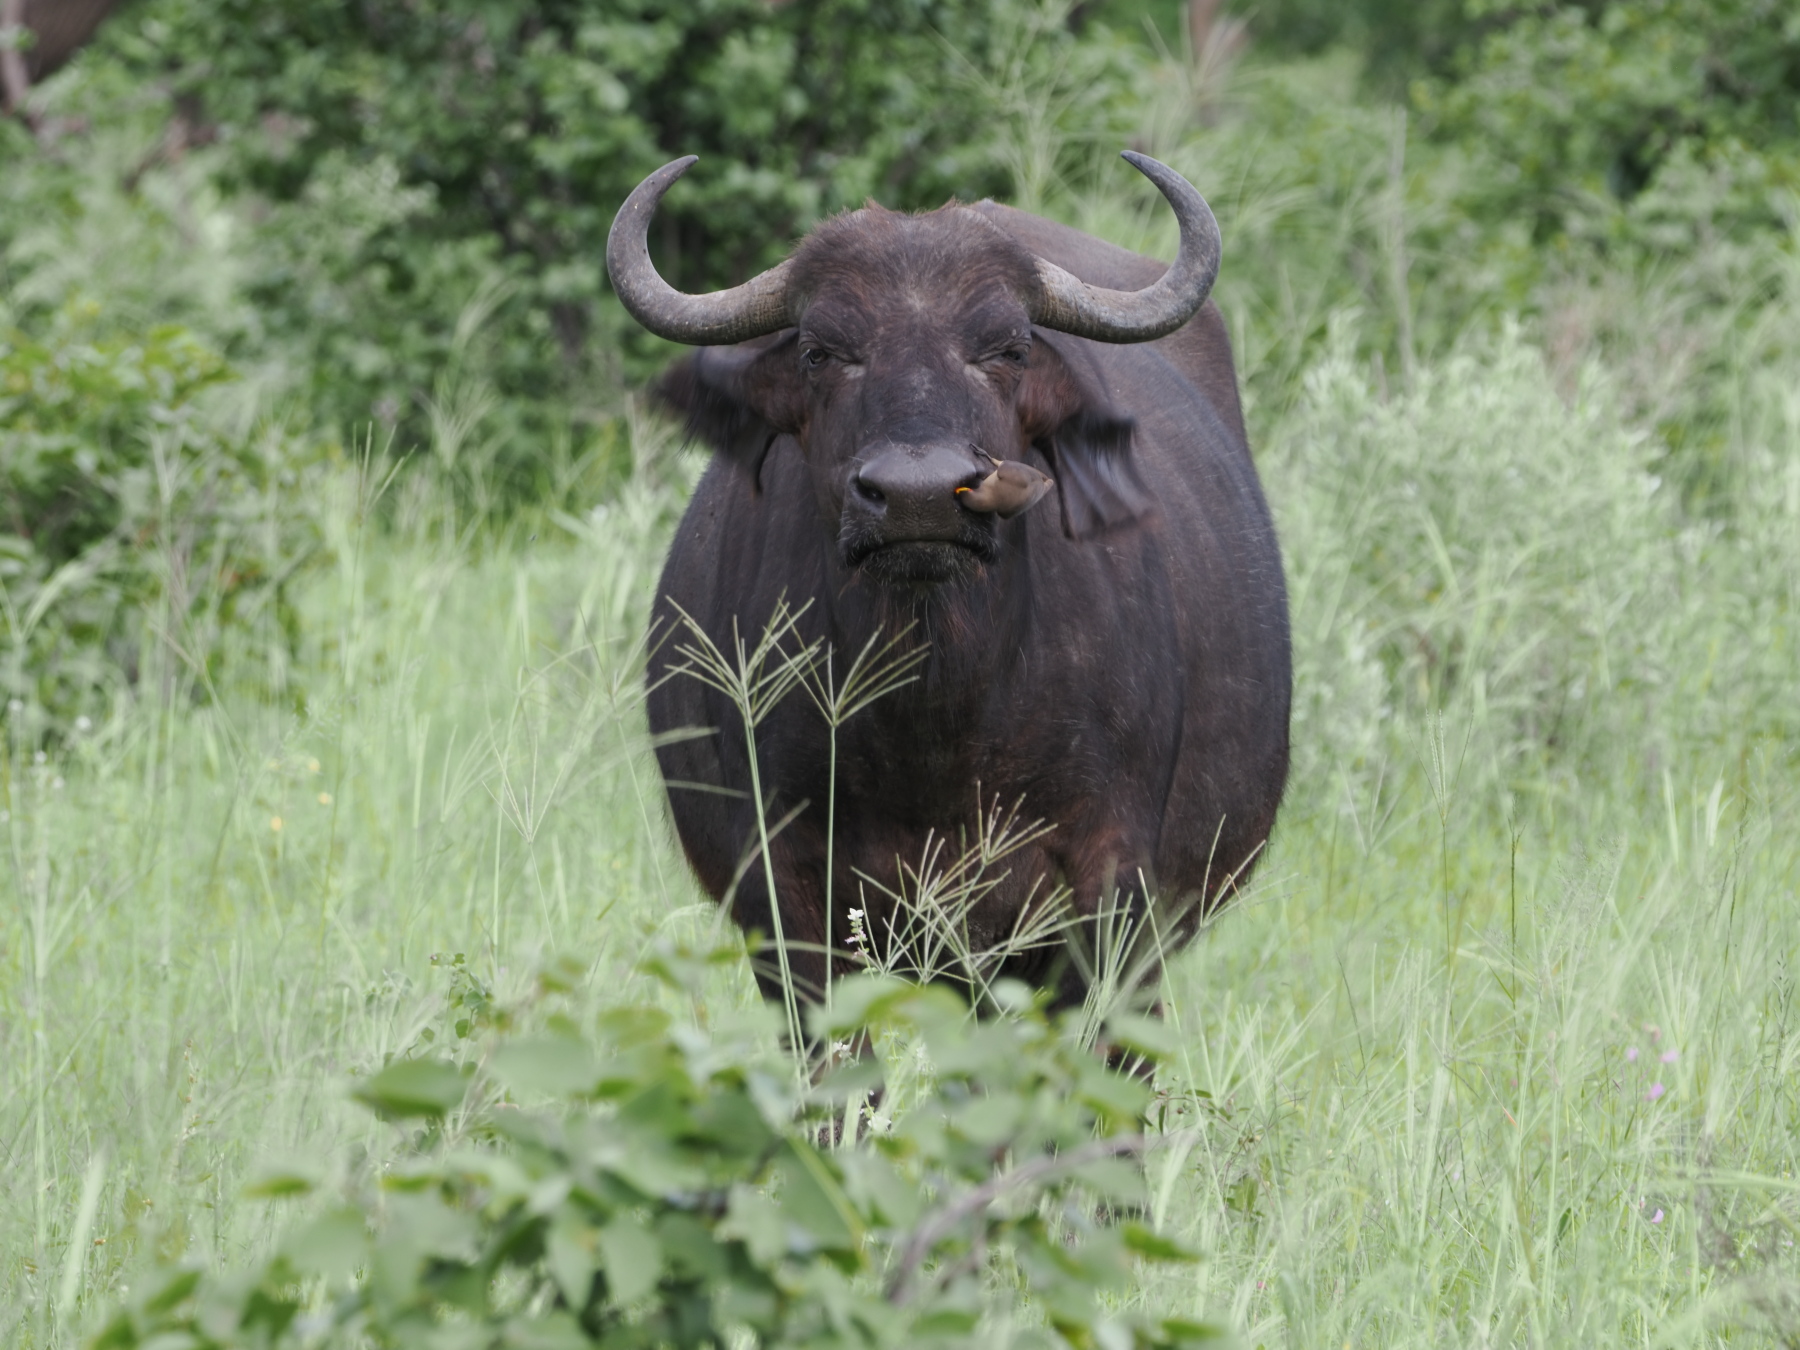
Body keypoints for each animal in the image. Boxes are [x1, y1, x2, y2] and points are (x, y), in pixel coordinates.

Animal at [608, 153, 1290, 1014]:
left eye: (1008, 349)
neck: (938, 712)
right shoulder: (784, 901)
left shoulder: (1107, 892)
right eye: (819, 351)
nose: (920, 496)